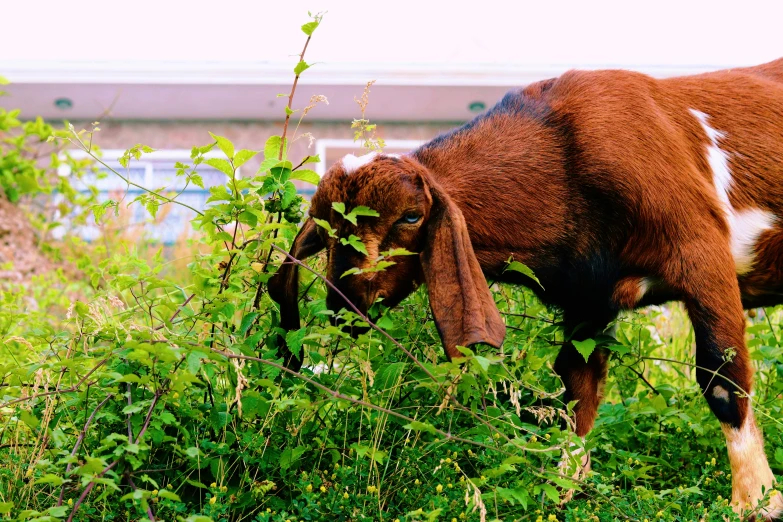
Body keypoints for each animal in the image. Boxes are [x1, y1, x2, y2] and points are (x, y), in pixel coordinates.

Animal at [268, 58, 783, 516]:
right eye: (324, 230)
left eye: (412, 217)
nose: (345, 302)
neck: (567, 159)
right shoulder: (588, 299)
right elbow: (575, 390)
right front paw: (562, 492)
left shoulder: (703, 253)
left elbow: (722, 377)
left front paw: (755, 502)